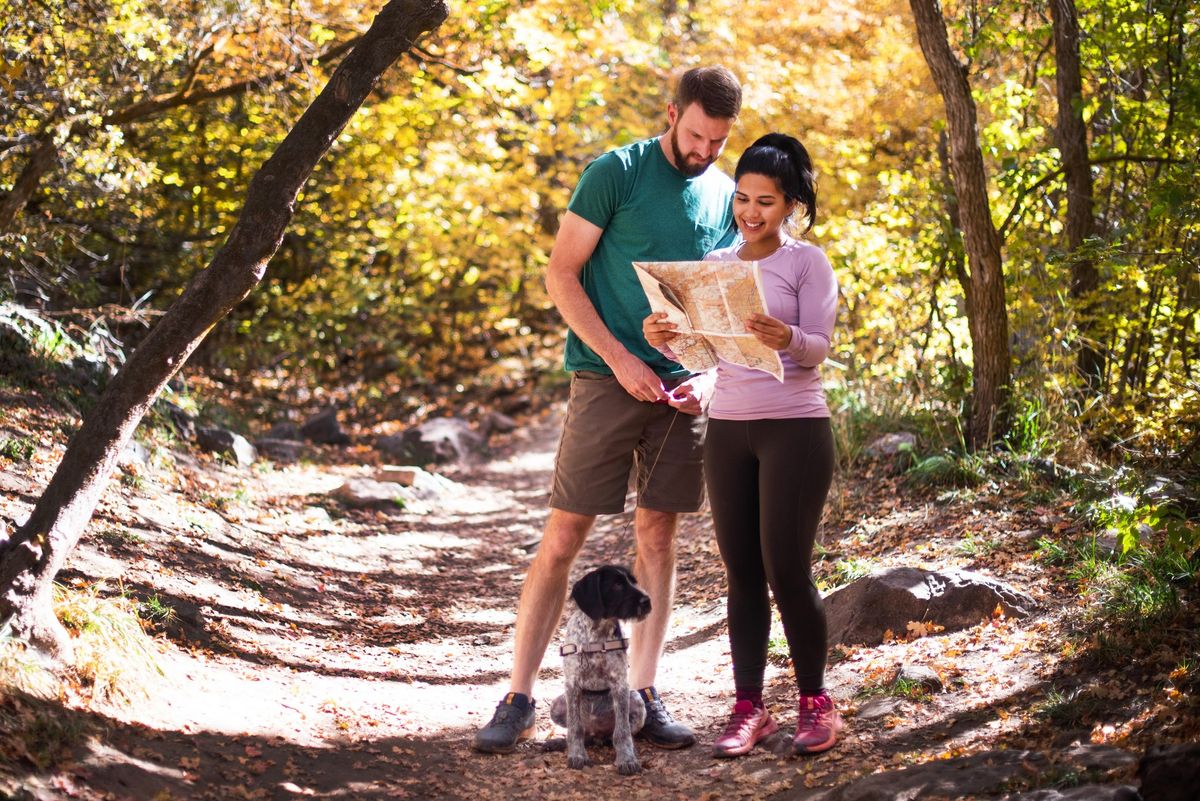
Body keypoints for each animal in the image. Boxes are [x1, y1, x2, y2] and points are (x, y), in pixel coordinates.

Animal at [556, 563, 652, 777]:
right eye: (617, 585)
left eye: (633, 582)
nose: (647, 601)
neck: (597, 635)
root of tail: (597, 733)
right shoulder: (572, 685)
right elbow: (575, 728)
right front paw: (577, 754)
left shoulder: (620, 684)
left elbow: (622, 731)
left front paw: (626, 759)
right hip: (557, 703)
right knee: (582, 732)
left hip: (636, 698)